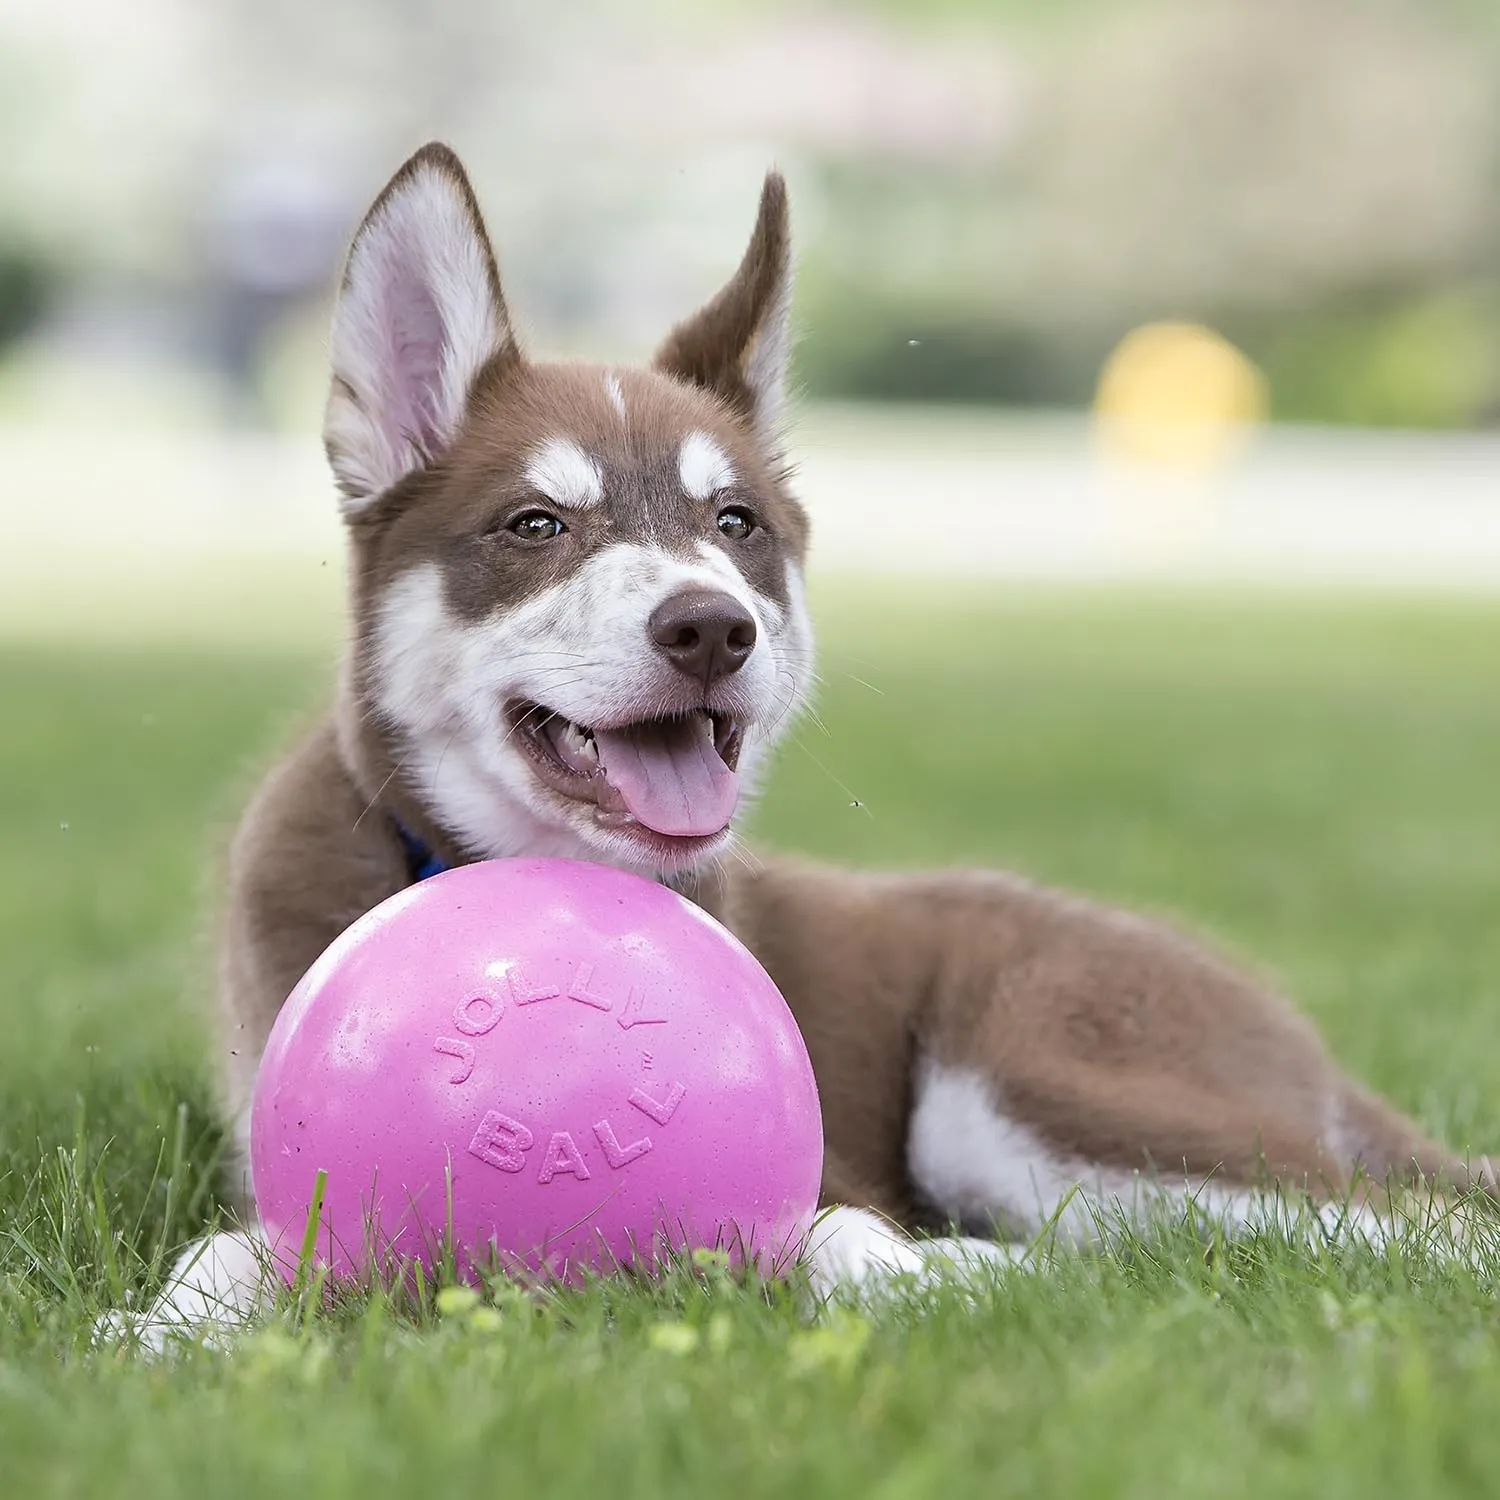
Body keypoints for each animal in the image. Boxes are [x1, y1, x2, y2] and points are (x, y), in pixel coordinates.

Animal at [117, 138, 1488, 1338]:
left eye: (735, 524)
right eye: (535, 525)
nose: (711, 629)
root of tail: (1272, 1017)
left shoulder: (849, 1172)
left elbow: (834, 1230)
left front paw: (913, 1276)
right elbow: (233, 1244)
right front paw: (172, 1327)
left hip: (1039, 1085)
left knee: (1396, 1224)